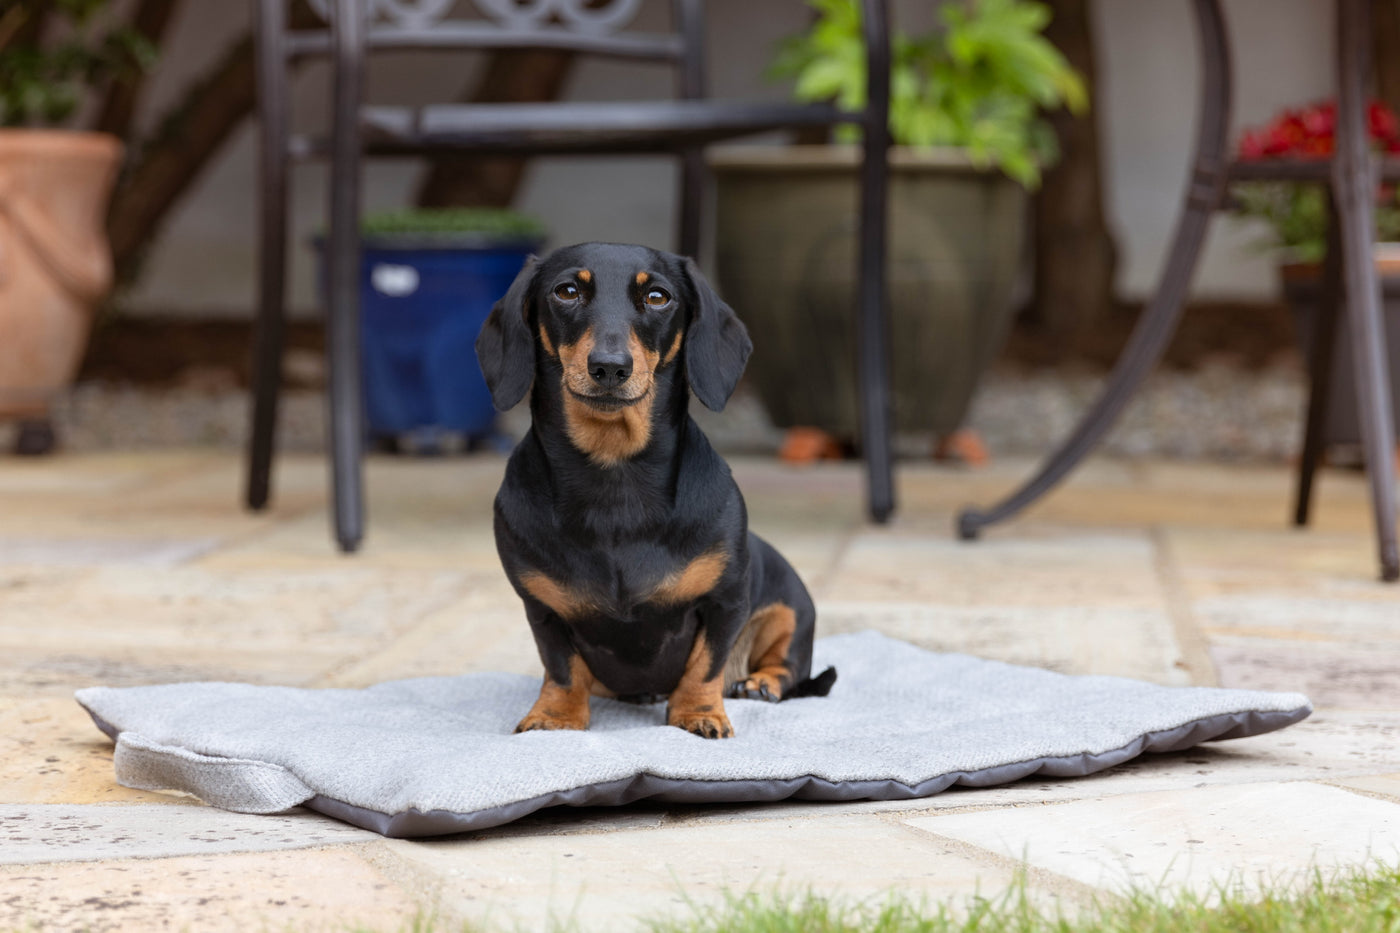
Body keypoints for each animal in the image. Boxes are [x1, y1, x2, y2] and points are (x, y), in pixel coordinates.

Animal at [476, 243, 834, 739]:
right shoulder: (541, 608)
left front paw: (699, 713)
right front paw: (556, 716)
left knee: (787, 665)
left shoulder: (725, 602)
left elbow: (706, 665)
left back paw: (761, 683)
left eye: (658, 297)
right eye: (566, 291)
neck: (614, 473)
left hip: (793, 609)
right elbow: (561, 667)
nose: (610, 367)